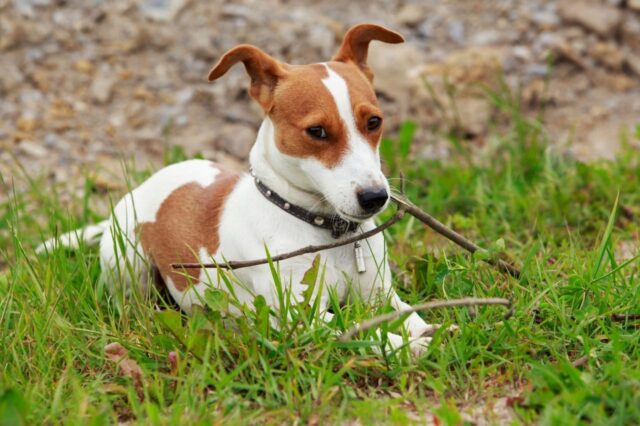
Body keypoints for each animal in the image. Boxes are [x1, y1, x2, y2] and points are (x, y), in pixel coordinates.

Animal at [40, 24, 438, 356]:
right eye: (317, 132)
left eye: (374, 122)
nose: (375, 198)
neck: (325, 232)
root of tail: (139, 190)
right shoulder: (299, 317)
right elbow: (363, 331)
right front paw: (406, 346)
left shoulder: (380, 296)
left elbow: (410, 314)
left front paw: (430, 331)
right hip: (128, 265)